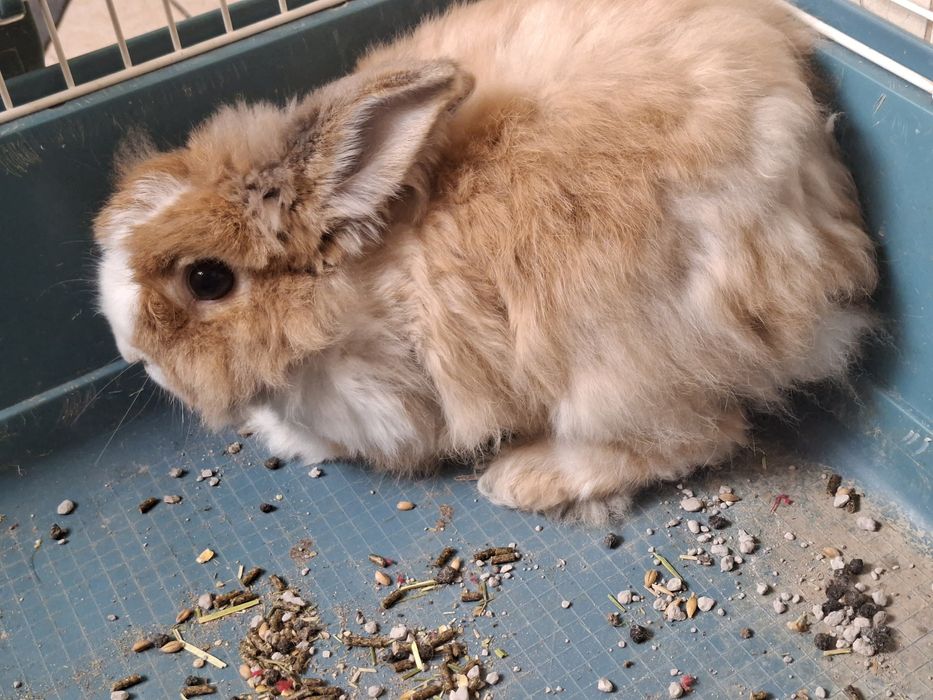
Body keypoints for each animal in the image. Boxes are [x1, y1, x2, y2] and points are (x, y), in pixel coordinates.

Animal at [95, 0, 877, 523]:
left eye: (207, 279)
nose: (133, 355)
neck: (367, 281)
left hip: (623, 372)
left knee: (702, 436)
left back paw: (524, 479)